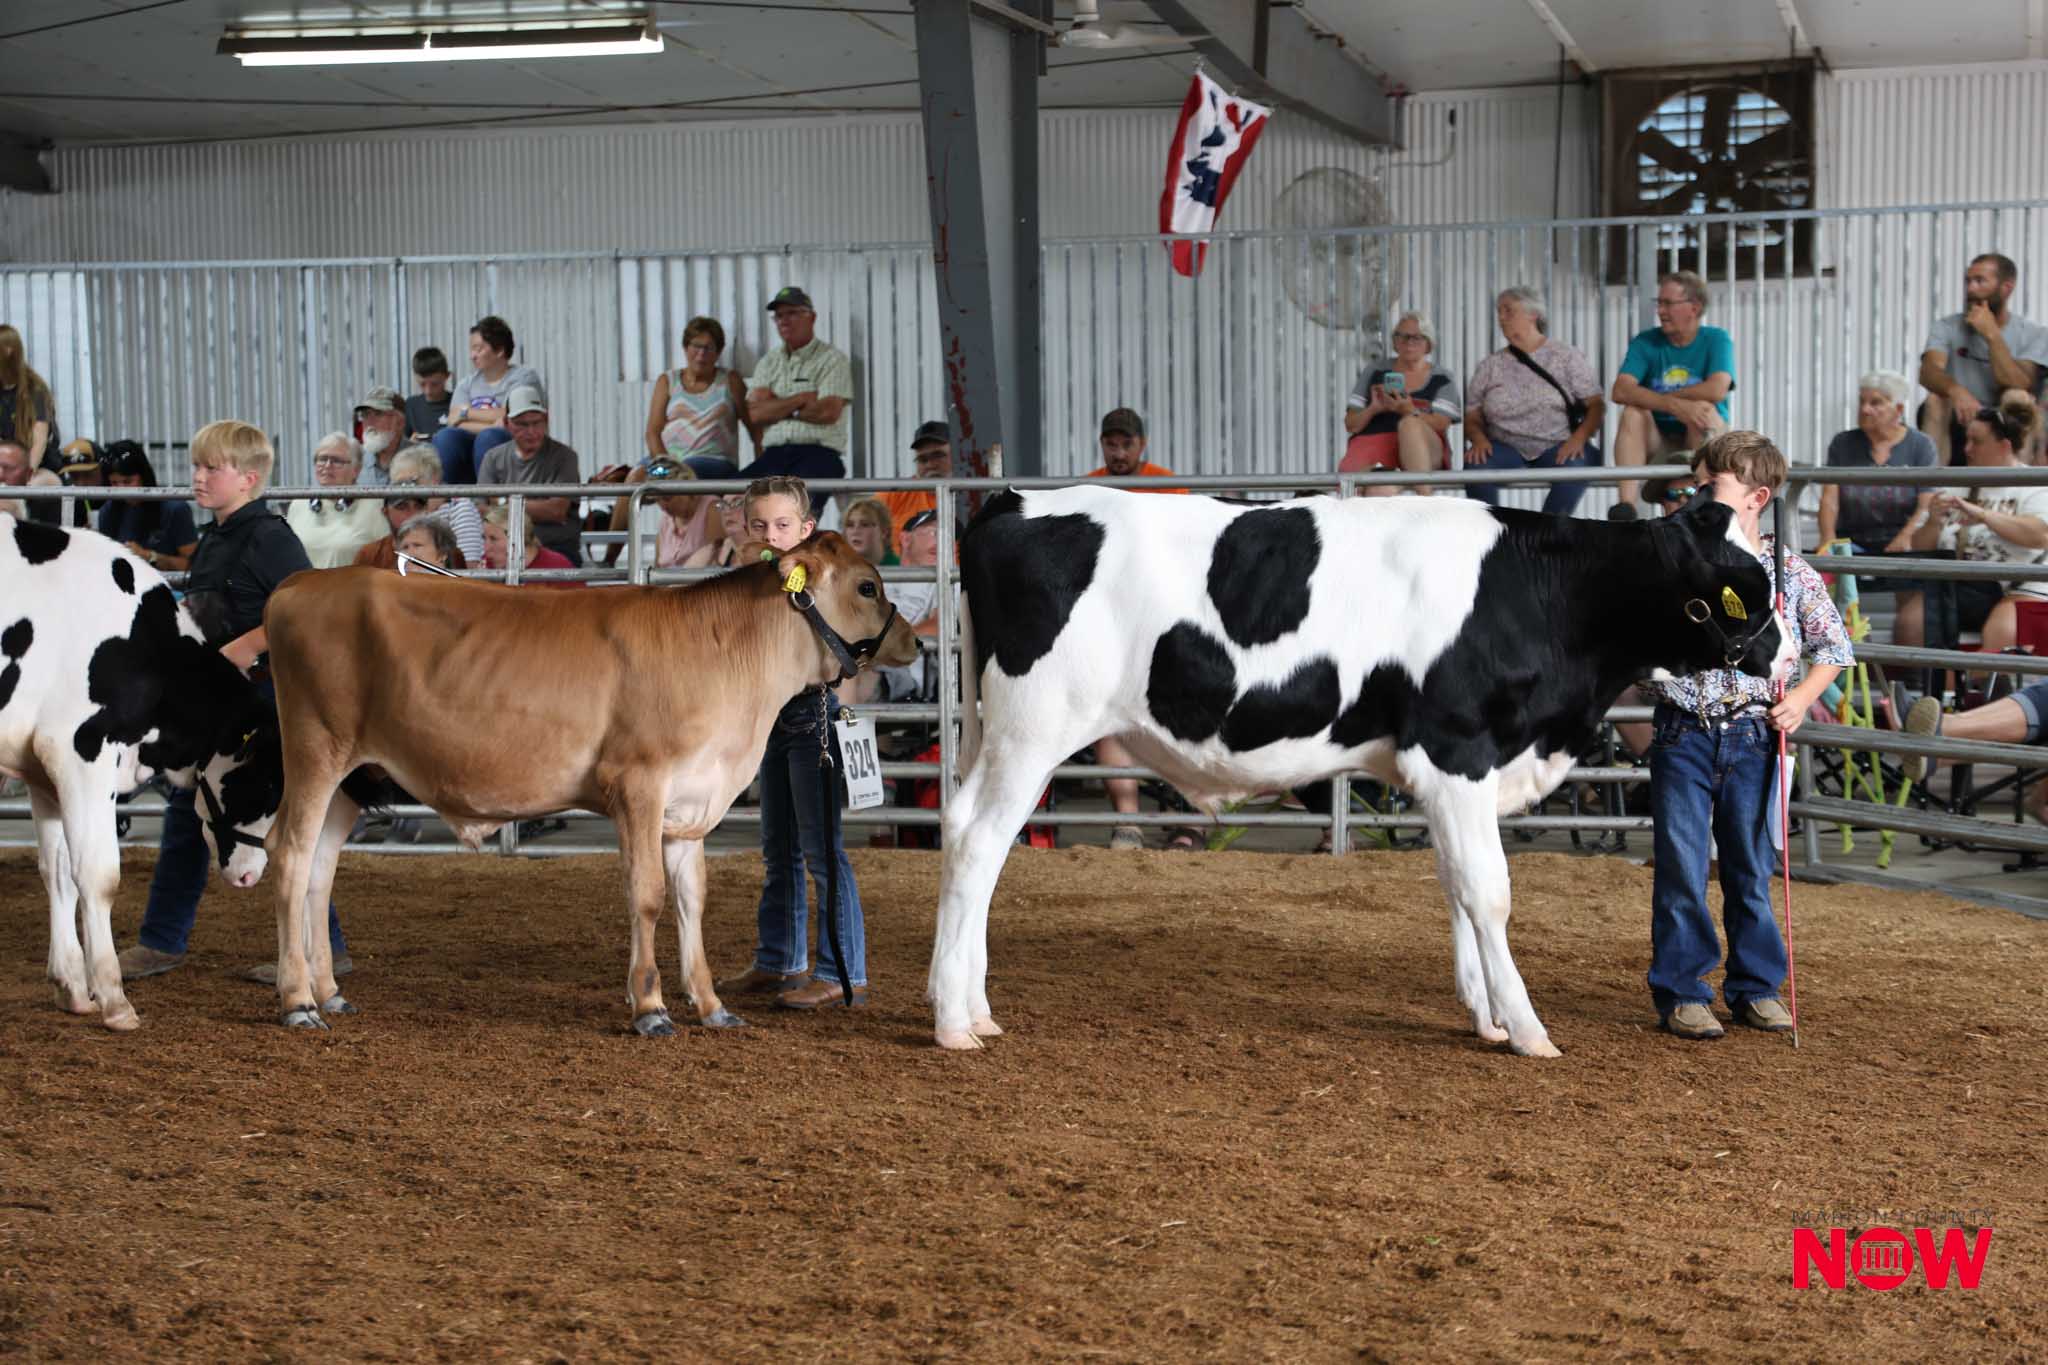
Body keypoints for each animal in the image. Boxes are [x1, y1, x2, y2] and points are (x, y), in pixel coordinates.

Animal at [0, 515, 269, 1030]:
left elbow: (58, 871)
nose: (252, 875)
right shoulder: (80, 749)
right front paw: (113, 999)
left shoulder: (42, 767)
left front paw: (72, 987)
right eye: (267, 784)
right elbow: (97, 874)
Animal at [254, 535, 918, 1033]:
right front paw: (650, 1007)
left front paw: (710, 1005)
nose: (913, 640)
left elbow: (692, 899)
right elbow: (647, 894)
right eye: (867, 586)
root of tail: (302, 583)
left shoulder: (690, 803)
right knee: (287, 853)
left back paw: (329, 991)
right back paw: (298, 1001)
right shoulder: (639, 784)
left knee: (319, 867)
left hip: (354, 777)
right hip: (315, 750)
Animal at [930, 488, 1795, 1057]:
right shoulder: (1457, 750)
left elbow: (1455, 886)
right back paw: (953, 1020)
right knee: (977, 843)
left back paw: (972, 1003)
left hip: (1000, 735)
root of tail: (1013, 500)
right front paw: (1526, 1028)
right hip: (1033, 730)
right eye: (1746, 588)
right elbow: (1488, 891)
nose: (1788, 656)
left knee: (966, 836)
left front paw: (1485, 1016)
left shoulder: (1451, 776)